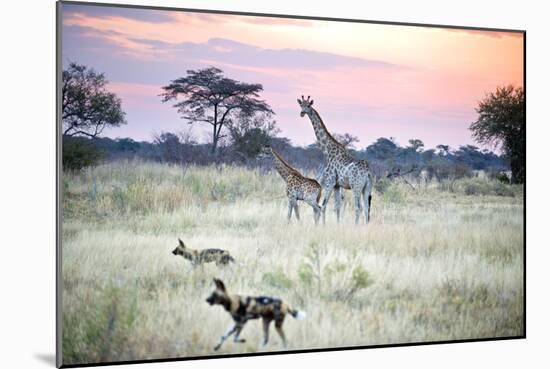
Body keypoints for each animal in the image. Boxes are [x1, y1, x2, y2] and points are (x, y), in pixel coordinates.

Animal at [298, 95, 376, 223]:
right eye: (301, 105)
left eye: (308, 105)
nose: (302, 113)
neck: (328, 151)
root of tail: (368, 172)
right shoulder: (337, 185)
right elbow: (337, 206)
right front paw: (338, 224)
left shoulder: (330, 182)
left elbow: (324, 205)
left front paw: (323, 225)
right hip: (367, 188)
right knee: (366, 208)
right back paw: (365, 226)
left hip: (356, 186)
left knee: (358, 207)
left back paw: (356, 226)